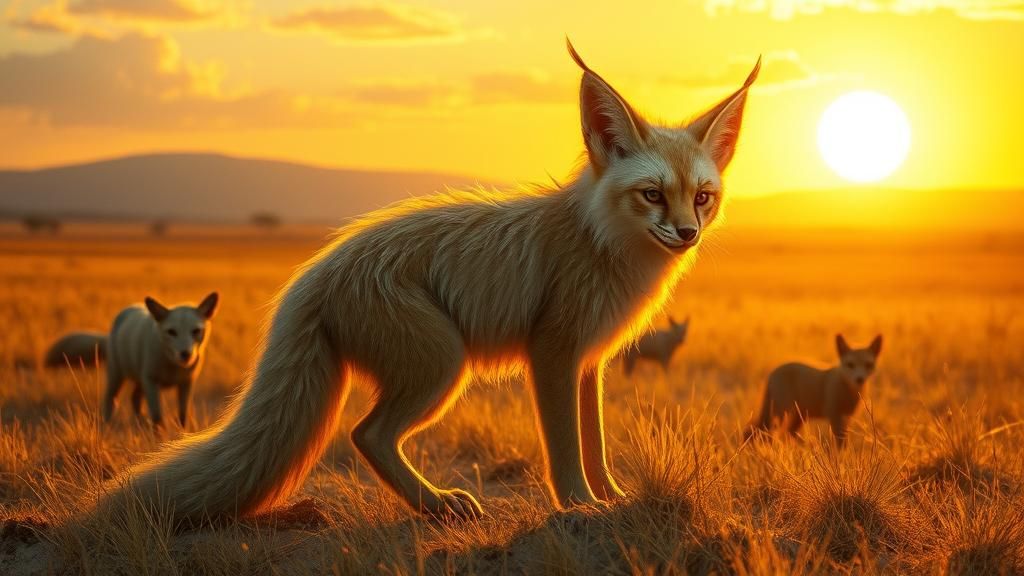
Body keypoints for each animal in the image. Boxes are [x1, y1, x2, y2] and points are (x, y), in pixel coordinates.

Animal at [47, 293, 219, 428]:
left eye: (196, 331)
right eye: (171, 332)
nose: (185, 354)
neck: (172, 368)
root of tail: (130, 307)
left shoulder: (186, 382)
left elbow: (183, 416)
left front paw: (181, 437)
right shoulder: (151, 381)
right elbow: (157, 418)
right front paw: (159, 441)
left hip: (139, 380)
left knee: (134, 399)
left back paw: (141, 423)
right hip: (117, 375)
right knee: (111, 401)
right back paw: (107, 426)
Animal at [101, 42, 759, 524]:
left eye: (702, 197)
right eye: (652, 194)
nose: (687, 233)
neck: (599, 241)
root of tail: (313, 272)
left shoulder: (589, 362)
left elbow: (594, 443)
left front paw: (613, 499)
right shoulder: (551, 352)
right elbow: (564, 447)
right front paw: (577, 506)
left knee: (367, 435)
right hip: (444, 364)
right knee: (367, 434)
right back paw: (439, 506)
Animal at [744, 334, 883, 447]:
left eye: (868, 365)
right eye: (850, 365)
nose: (859, 379)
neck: (848, 392)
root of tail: (773, 372)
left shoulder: (847, 417)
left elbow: (844, 442)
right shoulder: (834, 414)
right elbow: (840, 443)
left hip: (798, 416)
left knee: (786, 433)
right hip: (781, 413)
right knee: (761, 432)